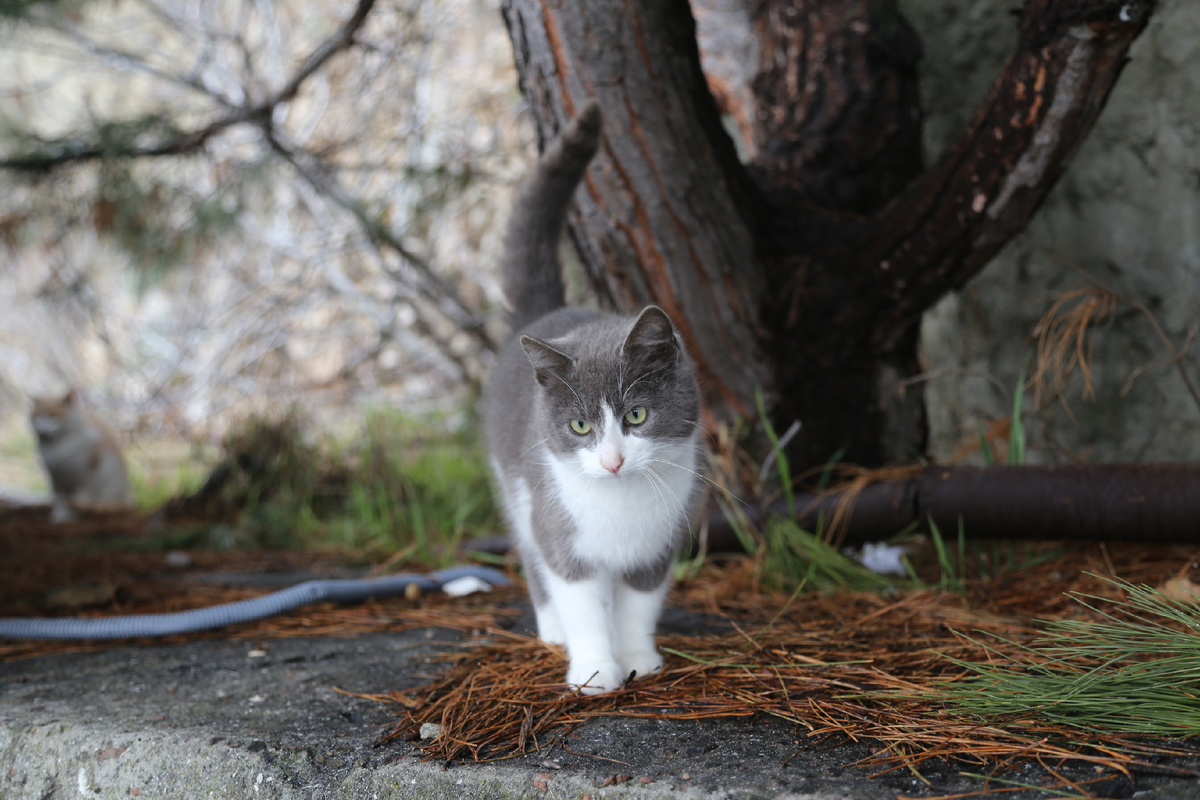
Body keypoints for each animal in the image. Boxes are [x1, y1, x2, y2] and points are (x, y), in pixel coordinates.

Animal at [480, 101, 700, 695]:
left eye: (636, 415)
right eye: (580, 427)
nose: (612, 460)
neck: (620, 507)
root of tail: (544, 315)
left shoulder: (657, 544)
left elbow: (638, 605)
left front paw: (639, 659)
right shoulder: (562, 532)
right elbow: (583, 603)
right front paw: (598, 672)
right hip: (517, 491)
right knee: (531, 556)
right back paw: (552, 629)